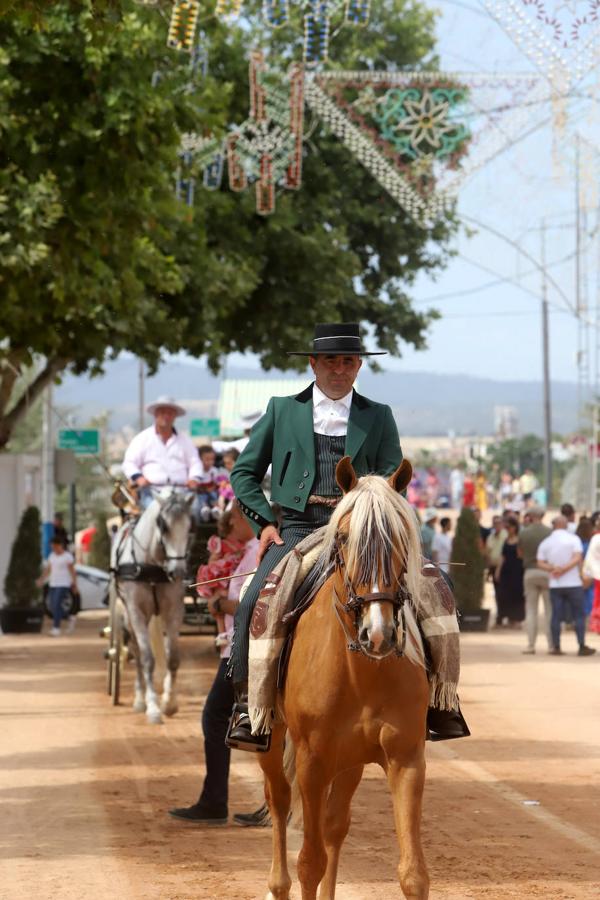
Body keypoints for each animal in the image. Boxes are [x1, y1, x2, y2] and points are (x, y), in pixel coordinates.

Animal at [109, 488, 191, 728]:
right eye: (163, 526)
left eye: (190, 526)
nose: (178, 572)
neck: (152, 565)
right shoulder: (136, 612)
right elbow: (147, 659)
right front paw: (153, 707)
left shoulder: (173, 611)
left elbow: (173, 658)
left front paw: (169, 703)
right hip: (129, 617)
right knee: (135, 651)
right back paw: (140, 699)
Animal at [260, 460, 428, 896]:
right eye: (344, 537)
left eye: (400, 538)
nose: (378, 632)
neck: (362, 673)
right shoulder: (311, 760)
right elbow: (309, 863)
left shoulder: (406, 757)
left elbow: (413, 874)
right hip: (272, 739)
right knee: (279, 799)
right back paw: (277, 885)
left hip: (350, 758)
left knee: (335, 826)